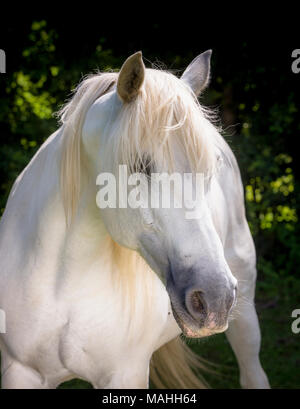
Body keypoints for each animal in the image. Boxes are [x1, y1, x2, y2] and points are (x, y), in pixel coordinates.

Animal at [0, 51, 270, 388]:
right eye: (140, 165)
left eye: (213, 166)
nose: (214, 298)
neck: (61, 285)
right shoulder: (20, 370)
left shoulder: (124, 375)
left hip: (244, 311)